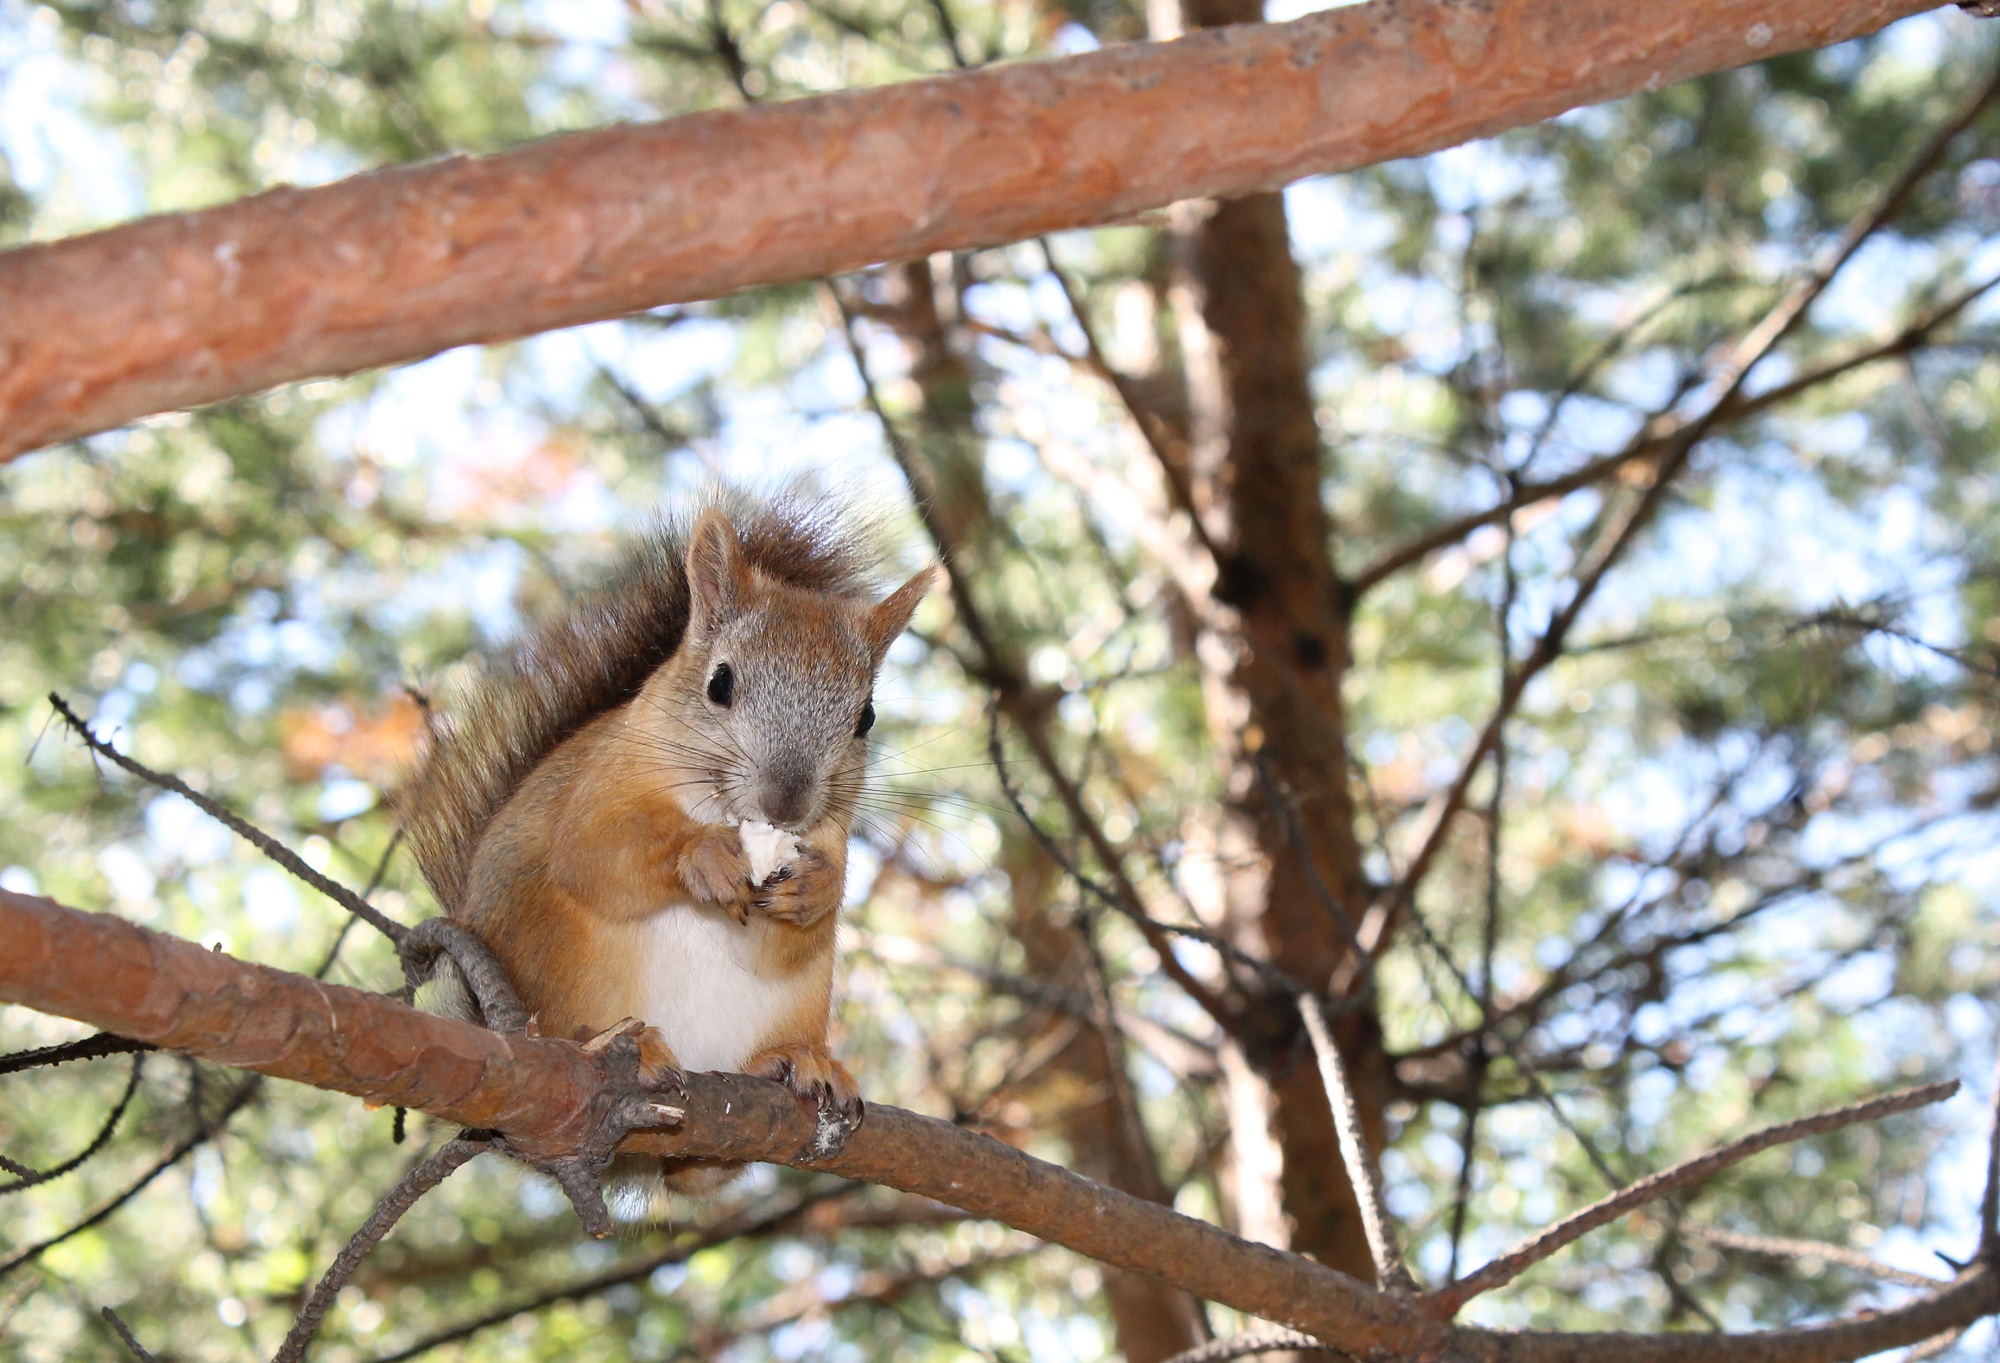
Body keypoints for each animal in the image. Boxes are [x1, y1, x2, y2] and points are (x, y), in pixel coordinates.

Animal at [408, 493, 936, 1191]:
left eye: (866, 717)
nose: (787, 803)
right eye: (720, 683)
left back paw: (792, 1061)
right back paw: (624, 1048)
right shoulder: (597, 788)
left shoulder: (832, 833)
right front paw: (702, 856)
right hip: (561, 963)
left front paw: (816, 889)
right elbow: (595, 853)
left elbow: (793, 938)